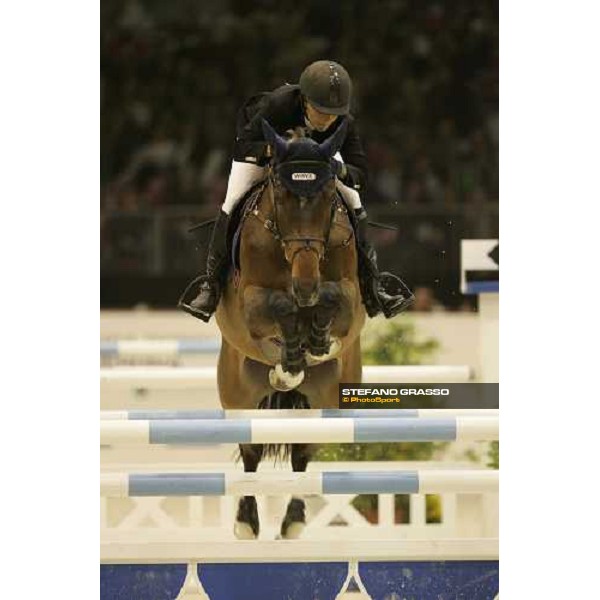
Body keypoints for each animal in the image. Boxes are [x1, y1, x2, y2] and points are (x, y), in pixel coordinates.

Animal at [216, 118, 366, 540]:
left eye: (329, 196)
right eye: (282, 198)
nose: (305, 287)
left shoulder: (350, 296)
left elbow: (333, 298)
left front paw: (315, 339)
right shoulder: (249, 302)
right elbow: (279, 306)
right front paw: (292, 355)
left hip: (327, 399)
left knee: (303, 451)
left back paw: (295, 518)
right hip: (238, 396)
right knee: (251, 452)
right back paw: (246, 522)